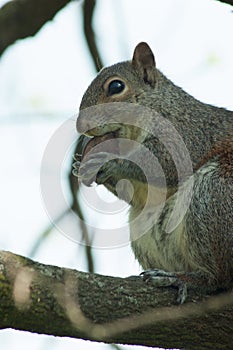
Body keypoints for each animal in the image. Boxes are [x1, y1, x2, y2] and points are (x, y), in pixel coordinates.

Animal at [72, 42, 231, 302]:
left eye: (116, 86)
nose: (81, 126)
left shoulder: (188, 135)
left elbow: (163, 164)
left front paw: (110, 161)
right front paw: (81, 167)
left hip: (213, 194)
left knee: (219, 278)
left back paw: (184, 279)